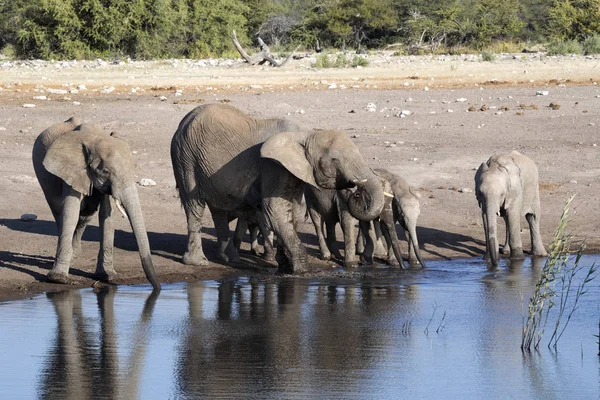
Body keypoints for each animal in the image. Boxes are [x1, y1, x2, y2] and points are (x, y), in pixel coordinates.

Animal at [31, 115, 159, 288]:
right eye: (105, 171)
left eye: (134, 168)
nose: (157, 287)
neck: (97, 139)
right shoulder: (72, 171)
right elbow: (70, 213)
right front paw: (59, 279)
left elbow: (107, 217)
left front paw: (108, 276)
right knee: (59, 212)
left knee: (86, 215)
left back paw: (75, 253)